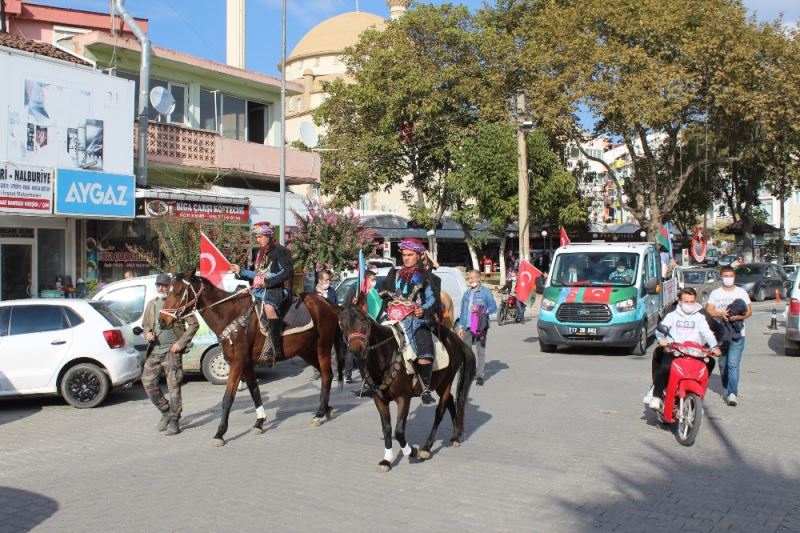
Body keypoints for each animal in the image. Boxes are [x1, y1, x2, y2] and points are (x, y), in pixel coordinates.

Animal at [159, 268, 344, 446]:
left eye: (178, 293)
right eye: (166, 292)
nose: (161, 320)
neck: (230, 314)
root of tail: (327, 303)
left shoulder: (236, 363)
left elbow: (228, 398)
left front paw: (220, 433)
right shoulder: (246, 364)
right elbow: (255, 391)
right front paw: (259, 422)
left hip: (322, 348)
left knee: (326, 375)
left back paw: (319, 414)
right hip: (307, 351)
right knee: (327, 375)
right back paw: (326, 409)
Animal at [340, 302, 476, 472]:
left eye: (364, 320)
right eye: (342, 325)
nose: (356, 350)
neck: (386, 357)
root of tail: (455, 339)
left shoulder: (403, 398)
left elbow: (399, 431)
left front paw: (412, 451)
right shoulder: (379, 399)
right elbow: (387, 428)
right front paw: (387, 460)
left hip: (446, 382)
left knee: (440, 411)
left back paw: (426, 448)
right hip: (439, 383)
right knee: (451, 402)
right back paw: (455, 436)